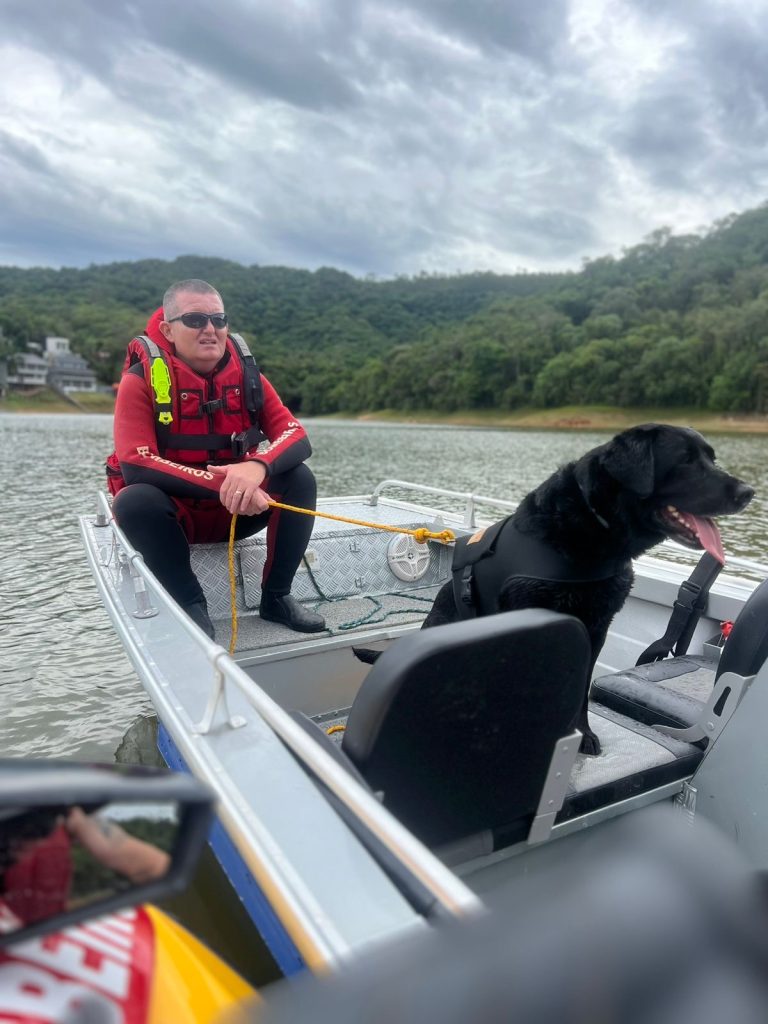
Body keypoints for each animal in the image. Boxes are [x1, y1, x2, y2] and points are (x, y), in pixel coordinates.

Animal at [358, 421, 753, 753]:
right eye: (686, 460)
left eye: (712, 458)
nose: (747, 492)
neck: (591, 530)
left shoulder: (597, 627)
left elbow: (580, 690)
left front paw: (582, 735)